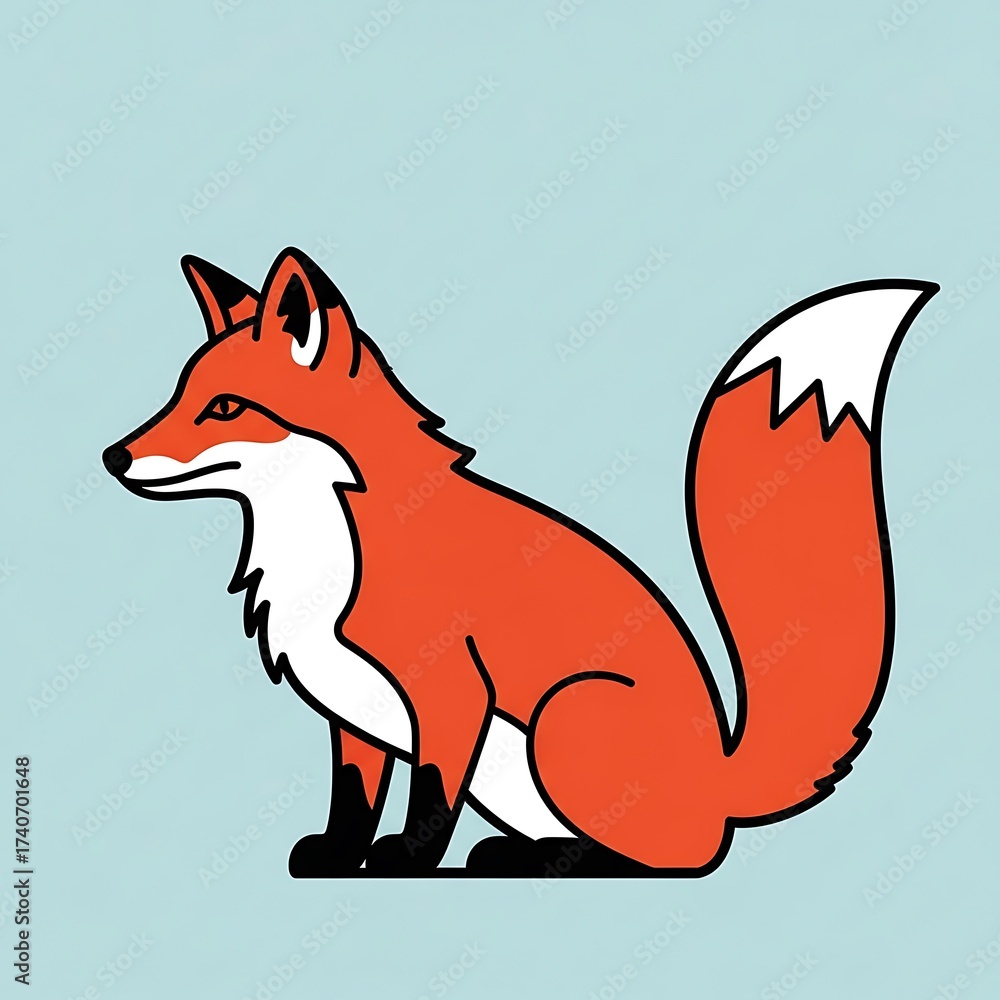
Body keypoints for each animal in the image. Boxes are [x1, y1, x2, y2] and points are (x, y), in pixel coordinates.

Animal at [104, 247, 938, 877]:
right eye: (178, 395)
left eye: (225, 408)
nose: (114, 456)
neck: (324, 549)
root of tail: (723, 779)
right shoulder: (352, 712)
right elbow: (352, 799)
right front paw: (341, 857)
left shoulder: (450, 690)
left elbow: (429, 794)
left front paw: (406, 859)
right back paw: (517, 855)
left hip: (568, 719)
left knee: (675, 859)